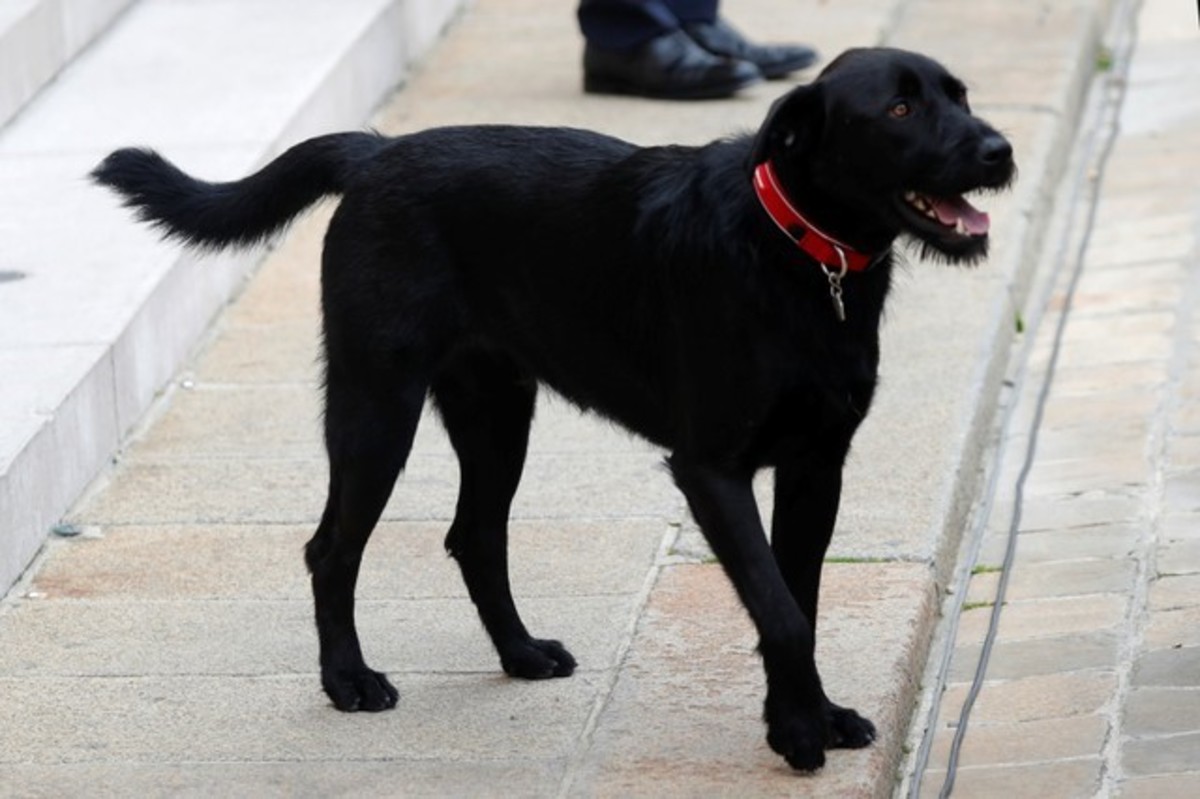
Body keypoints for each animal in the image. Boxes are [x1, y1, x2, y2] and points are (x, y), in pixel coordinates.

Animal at [92, 47, 1014, 771]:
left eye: (961, 95)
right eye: (899, 108)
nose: (1000, 149)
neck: (800, 255)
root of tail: (375, 153)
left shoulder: (816, 463)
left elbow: (802, 602)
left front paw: (812, 714)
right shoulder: (711, 470)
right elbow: (780, 611)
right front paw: (793, 732)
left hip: (496, 413)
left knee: (473, 534)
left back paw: (520, 653)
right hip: (375, 409)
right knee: (331, 549)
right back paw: (348, 680)